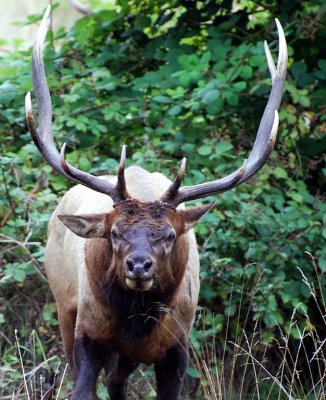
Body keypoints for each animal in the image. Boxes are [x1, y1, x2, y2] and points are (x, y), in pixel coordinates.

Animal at [24, 6, 286, 400]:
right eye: (114, 232)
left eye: (170, 235)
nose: (139, 266)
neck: (135, 327)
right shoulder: (87, 332)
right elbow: (82, 388)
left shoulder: (178, 347)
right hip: (63, 307)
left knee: (117, 383)